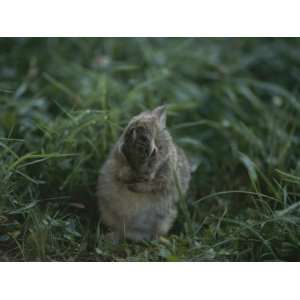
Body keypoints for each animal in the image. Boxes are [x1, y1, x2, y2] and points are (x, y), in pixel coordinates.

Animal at [96, 105, 190, 241]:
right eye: (124, 150)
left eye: (155, 151)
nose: (145, 174)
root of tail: (135, 233)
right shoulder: (117, 164)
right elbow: (121, 174)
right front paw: (130, 179)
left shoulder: (167, 176)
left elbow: (157, 184)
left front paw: (135, 187)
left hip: (164, 220)